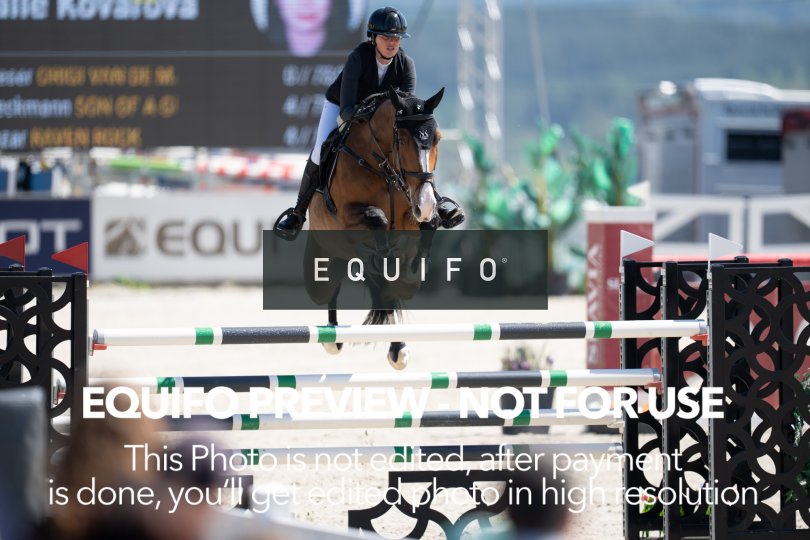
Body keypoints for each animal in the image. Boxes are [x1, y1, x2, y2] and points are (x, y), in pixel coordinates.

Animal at [304, 86, 446, 369]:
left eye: (437, 139)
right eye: (403, 141)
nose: (425, 203)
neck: (382, 166)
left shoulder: (411, 210)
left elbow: (430, 224)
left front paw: (416, 265)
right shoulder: (347, 216)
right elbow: (376, 217)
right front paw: (382, 255)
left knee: (389, 292)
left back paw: (397, 349)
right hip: (323, 260)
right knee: (330, 286)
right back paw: (332, 338)